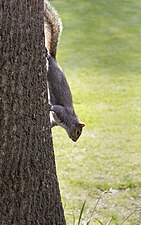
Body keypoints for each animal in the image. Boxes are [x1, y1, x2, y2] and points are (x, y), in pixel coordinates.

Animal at [43, 1, 85, 142]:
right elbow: (55, 107)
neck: (68, 121)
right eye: (78, 132)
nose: (74, 140)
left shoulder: (56, 120)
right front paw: (48, 106)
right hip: (50, 71)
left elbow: (51, 123)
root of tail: (54, 59)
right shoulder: (63, 111)